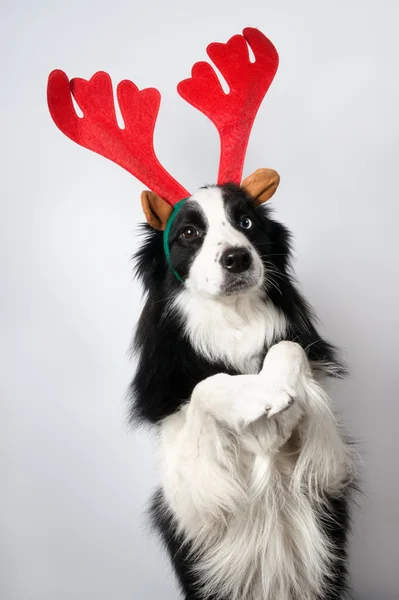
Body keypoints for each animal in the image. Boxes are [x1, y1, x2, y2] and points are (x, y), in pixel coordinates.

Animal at [132, 183, 356, 600]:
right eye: (189, 233)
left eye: (247, 221)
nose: (237, 258)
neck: (233, 318)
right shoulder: (193, 494)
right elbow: (204, 387)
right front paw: (259, 398)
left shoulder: (329, 467)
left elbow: (289, 347)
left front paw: (282, 394)